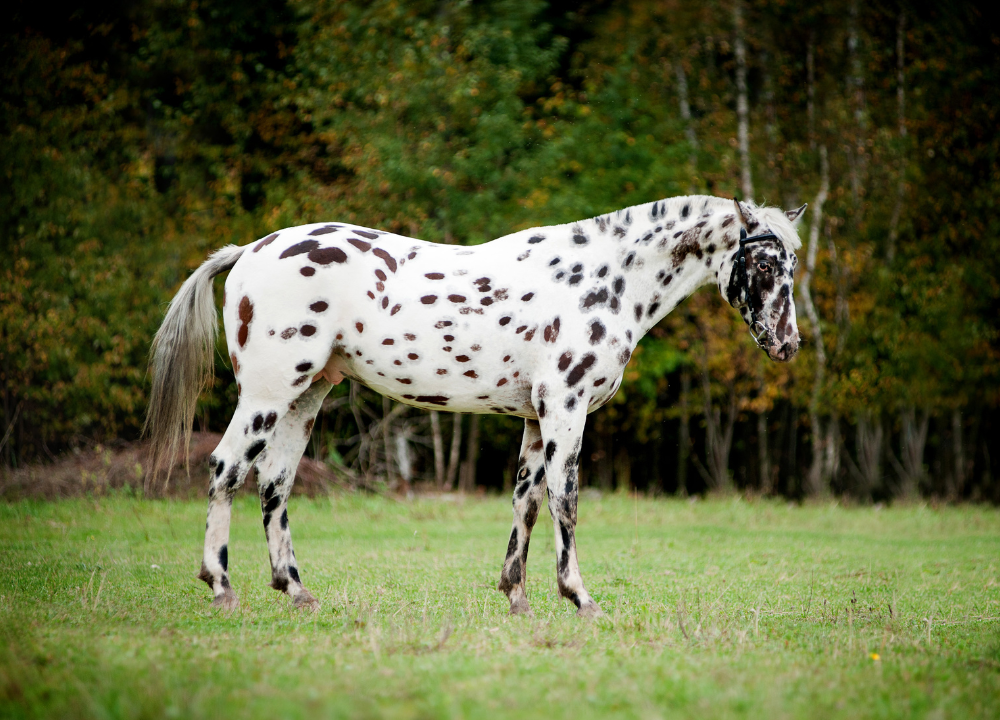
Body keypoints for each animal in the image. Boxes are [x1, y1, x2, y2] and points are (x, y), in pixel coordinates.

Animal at [146, 194, 804, 616]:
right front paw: (580, 597)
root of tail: (250, 251)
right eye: (763, 261)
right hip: (268, 392)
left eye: (791, 264)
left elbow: (527, 502)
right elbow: (565, 500)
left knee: (274, 484)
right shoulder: (565, 409)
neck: (601, 280)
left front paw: (516, 595)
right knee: (226, 469)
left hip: (306, 396)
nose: (787, 343)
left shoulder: (537, 418)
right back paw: (221, 588)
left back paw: (297, 592)